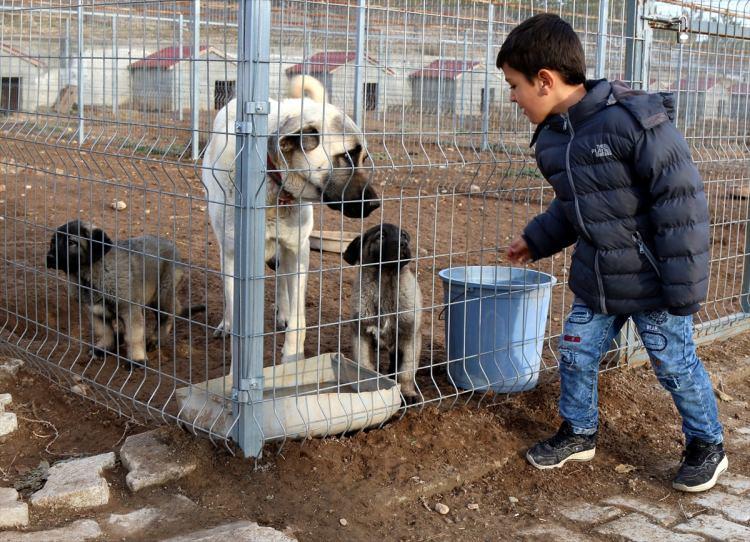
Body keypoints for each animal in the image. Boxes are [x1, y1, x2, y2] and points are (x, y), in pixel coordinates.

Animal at [47, 221, 206, 370]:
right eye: (53, 242)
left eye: (71, 243)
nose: (49, 257)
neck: (88, 277)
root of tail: (171, 245)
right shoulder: (95, 312)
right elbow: (104, 331)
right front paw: (103, 348)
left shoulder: (130, 310)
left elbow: (133, 336)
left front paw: (136, 360)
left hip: (162, 294)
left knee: (166, 317)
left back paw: (155, 340)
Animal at [346, 224, 424, 404]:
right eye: (380, 236)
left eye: (403, 235)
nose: (403, 244)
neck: (386, 278)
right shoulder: (362, 335)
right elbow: (365, 366)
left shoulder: (410, 337)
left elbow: (406, 372)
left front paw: (408, 393)